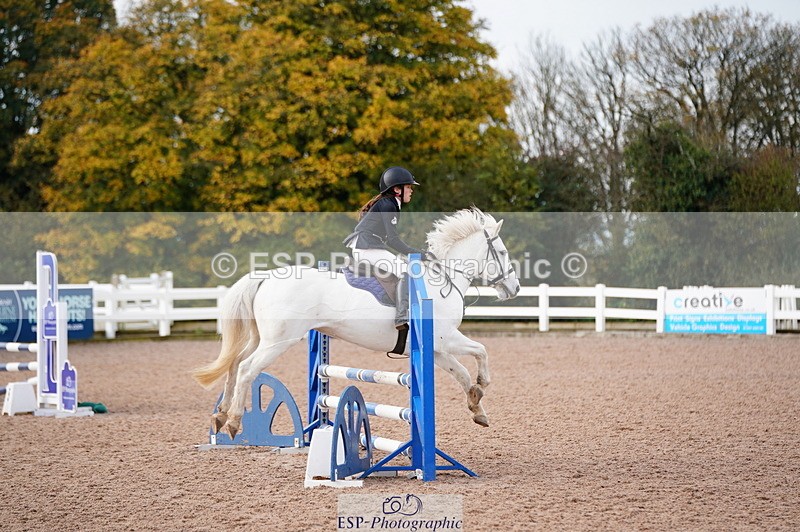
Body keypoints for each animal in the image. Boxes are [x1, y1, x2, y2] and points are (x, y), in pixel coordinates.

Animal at [193, 207, 521, 439]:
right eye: (503, 252)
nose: (514, 288)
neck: (443, 280)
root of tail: (266, 277)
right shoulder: (447, 338)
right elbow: (481, 351)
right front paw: (483, 383)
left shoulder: (437, 349)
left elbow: (462, 373)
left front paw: (478, 408)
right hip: (278, 342)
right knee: (247, 369)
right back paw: (234, 421)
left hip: (261, 338)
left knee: (235, 365)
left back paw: (220, 416)